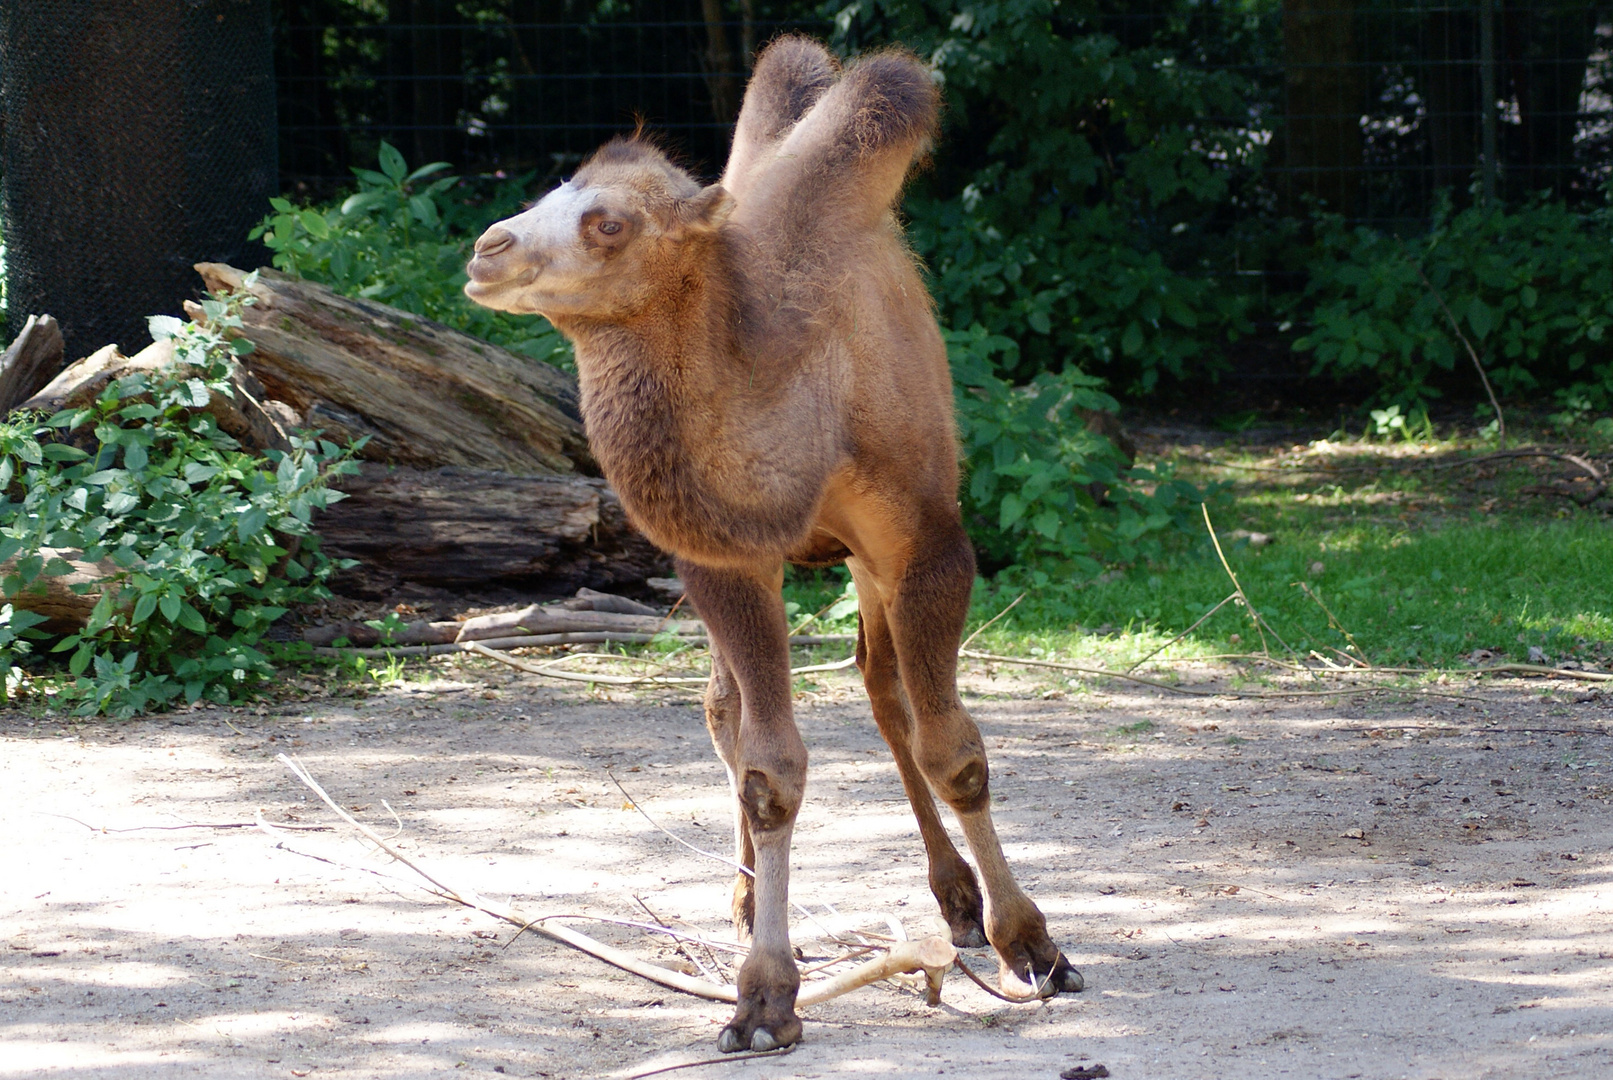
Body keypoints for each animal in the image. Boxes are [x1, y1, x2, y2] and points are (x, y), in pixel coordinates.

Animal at [461, 38, 1083, 1050]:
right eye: (555, 191)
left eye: (606, 222)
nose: (487, 248)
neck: (796, 393)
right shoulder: (723, 557)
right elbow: (768, 767)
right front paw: (762, 997)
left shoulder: (926, 543)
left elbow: (953, 748)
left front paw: (1032, 945)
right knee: (732, 710)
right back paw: (757, 898)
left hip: (872, 560)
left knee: (885, 691)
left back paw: (955, 902)